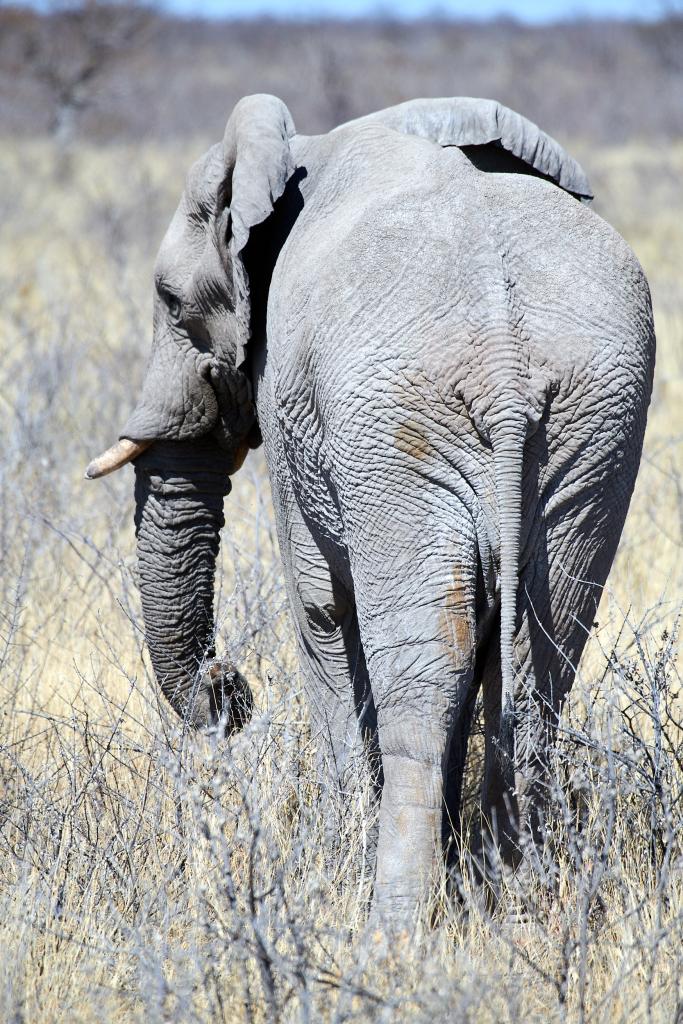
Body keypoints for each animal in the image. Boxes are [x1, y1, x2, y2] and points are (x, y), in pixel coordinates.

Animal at [87, 96, 655, 925]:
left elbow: (319, 609)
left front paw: (334, 874)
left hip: (395, 429)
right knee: (537, 668)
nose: (230, 684)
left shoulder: (299, 413)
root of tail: (505, 366)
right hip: (592, 428)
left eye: (168, 300)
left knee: (422, 672)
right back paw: (515, 907)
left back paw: (396, 923)